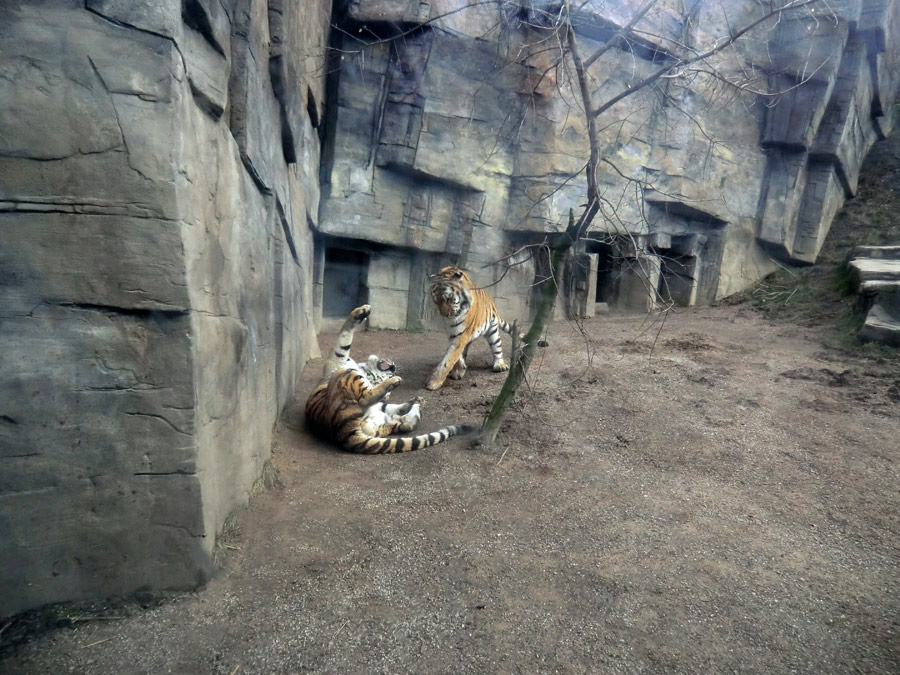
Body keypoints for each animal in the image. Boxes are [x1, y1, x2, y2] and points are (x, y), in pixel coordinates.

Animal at [306, 306, 474, 454]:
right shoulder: (337, 362)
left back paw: (412, 398)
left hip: (349, 379)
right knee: (401, 421)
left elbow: (343, 339)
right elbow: (343, 338)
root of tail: (342, 433)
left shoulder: (338, 360)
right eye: (387, 373)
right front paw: (363, 311)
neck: (365, 370)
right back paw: (413, 402)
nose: (393, 369)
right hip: (369, 407)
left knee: (374, 403)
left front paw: (362, 311)